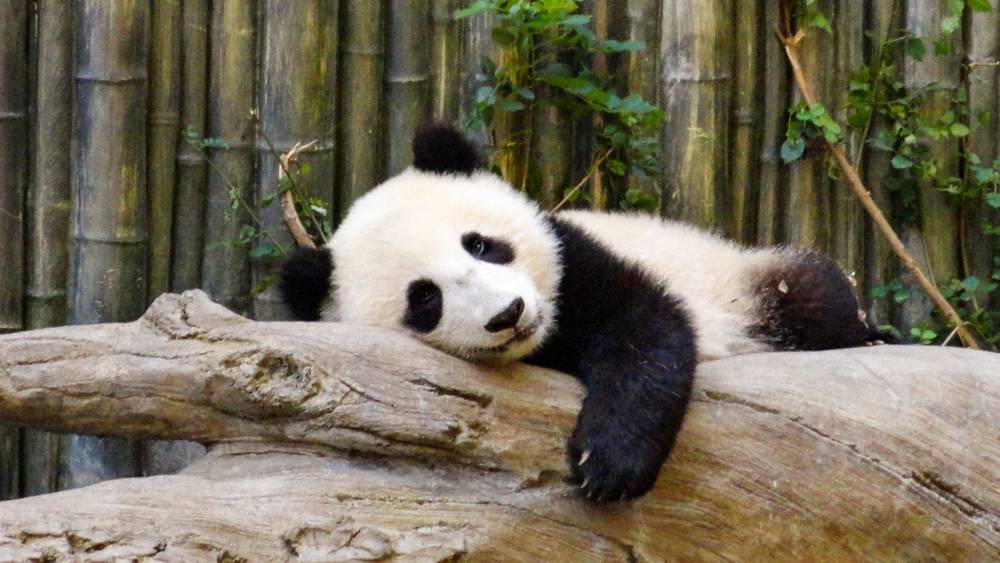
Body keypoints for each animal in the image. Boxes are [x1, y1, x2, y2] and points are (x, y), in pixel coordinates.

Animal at [279, 123, 891, 502]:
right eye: (424, 299)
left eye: (481, 245)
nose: (509, 313)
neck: (545, 338)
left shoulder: (576, 258)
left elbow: (646, 330)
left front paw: (609, 465)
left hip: (742, 280)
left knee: (814, 295)